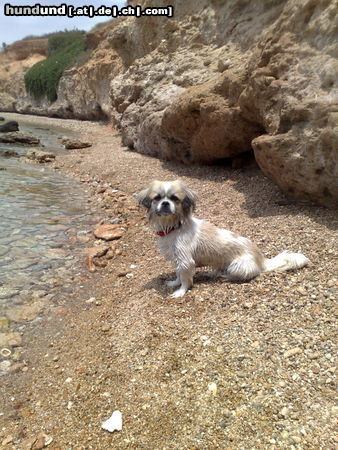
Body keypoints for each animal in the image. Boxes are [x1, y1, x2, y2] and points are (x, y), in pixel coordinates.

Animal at [137, 179, 308, 298]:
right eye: (157, 198)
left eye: (175, 198)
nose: (165, 203)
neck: (173, 227)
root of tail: (262, 261)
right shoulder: (178, 260)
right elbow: (178, 274)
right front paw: (174, 283)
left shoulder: (186, 260)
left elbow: (185, 279)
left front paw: (180, 291)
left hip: (237, 266)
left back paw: (223, 276)